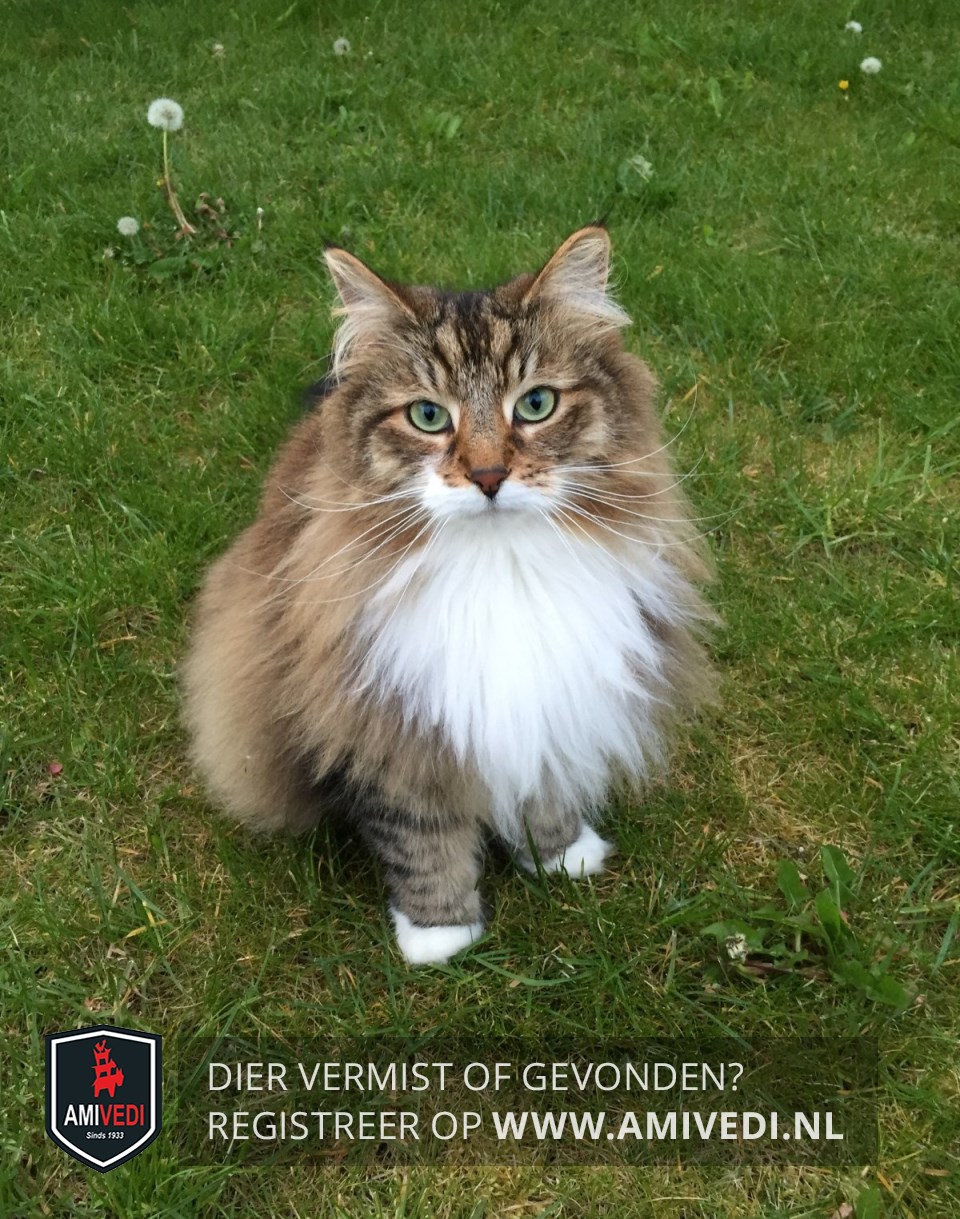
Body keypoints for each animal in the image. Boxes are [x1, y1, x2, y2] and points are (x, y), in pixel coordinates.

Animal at [181, 225, 716, 965]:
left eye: (536, 404)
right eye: (429, 416)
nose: (488, 476)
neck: (501, 567)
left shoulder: (552, 691)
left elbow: (544, 782)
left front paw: (563, 856)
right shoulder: (386, 721)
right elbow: (419, 837)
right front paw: (439, 935)